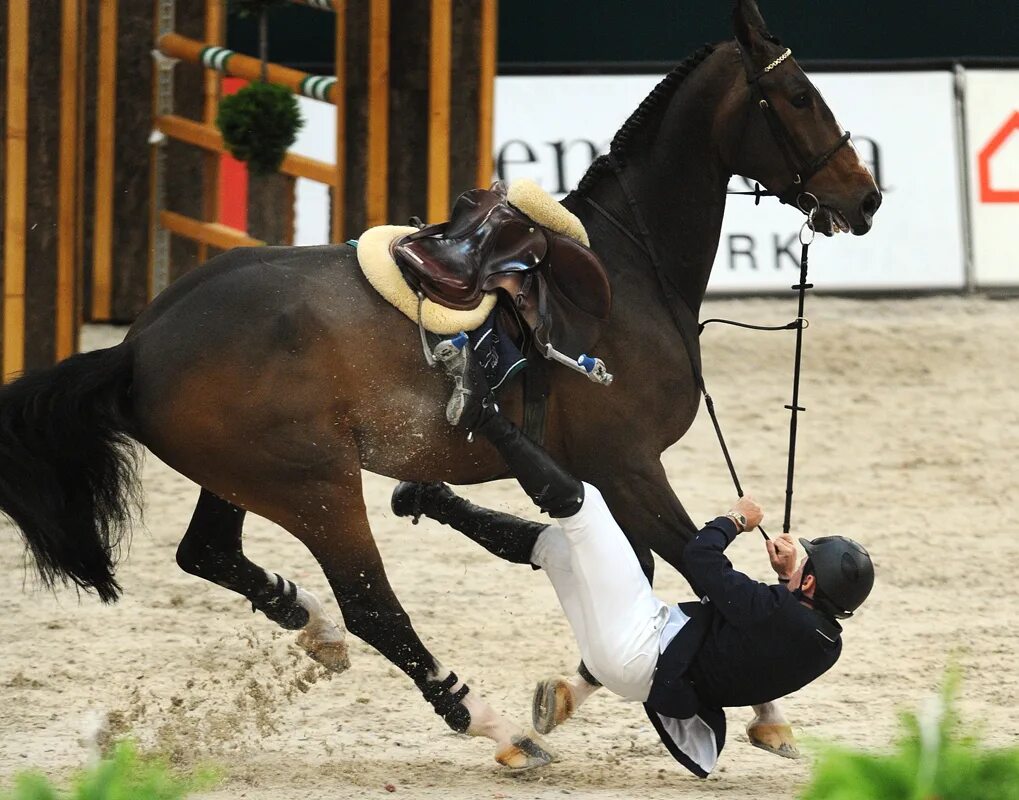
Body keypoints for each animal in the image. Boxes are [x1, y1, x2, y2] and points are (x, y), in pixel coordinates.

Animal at [0, 1, 880, 774]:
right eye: (798, 96)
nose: (864, 196)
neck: (627, 269)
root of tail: (138, 345)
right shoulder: (627, 466)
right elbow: (690, 562)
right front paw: (764, 712)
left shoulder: (603, 474)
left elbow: (644, 568)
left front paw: (573, 691)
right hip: (318, 489)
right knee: (373, 605)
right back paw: (488, 724)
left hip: (246, 477)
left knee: (209, 552)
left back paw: (312, 625)